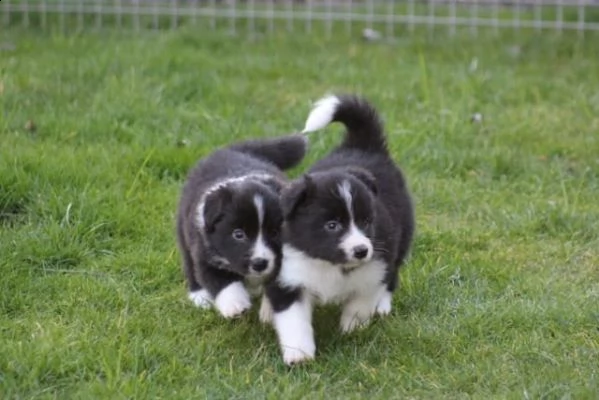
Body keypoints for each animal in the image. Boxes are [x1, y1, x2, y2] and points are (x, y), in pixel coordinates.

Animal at [177, 134, 310, 318]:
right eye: (238, 234)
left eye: (275, 232)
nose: (260, 264)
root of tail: (230, 149)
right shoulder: (205, 253)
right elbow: (221, 281)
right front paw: (235, 304)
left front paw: (269, 311)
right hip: (184, 230)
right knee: (189, 264)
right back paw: (200, 296)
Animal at [262, 95, 418, 364]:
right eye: (332, 225)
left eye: (366, 222)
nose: (361, 251)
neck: (330, 264)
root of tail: (363, 146)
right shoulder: (290, 276)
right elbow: (294, 321)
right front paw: (299, 355)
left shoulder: (376, 266)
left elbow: (361, 301)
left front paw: (351, 328)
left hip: (401, 237)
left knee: (393, 274)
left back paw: (382, 306)